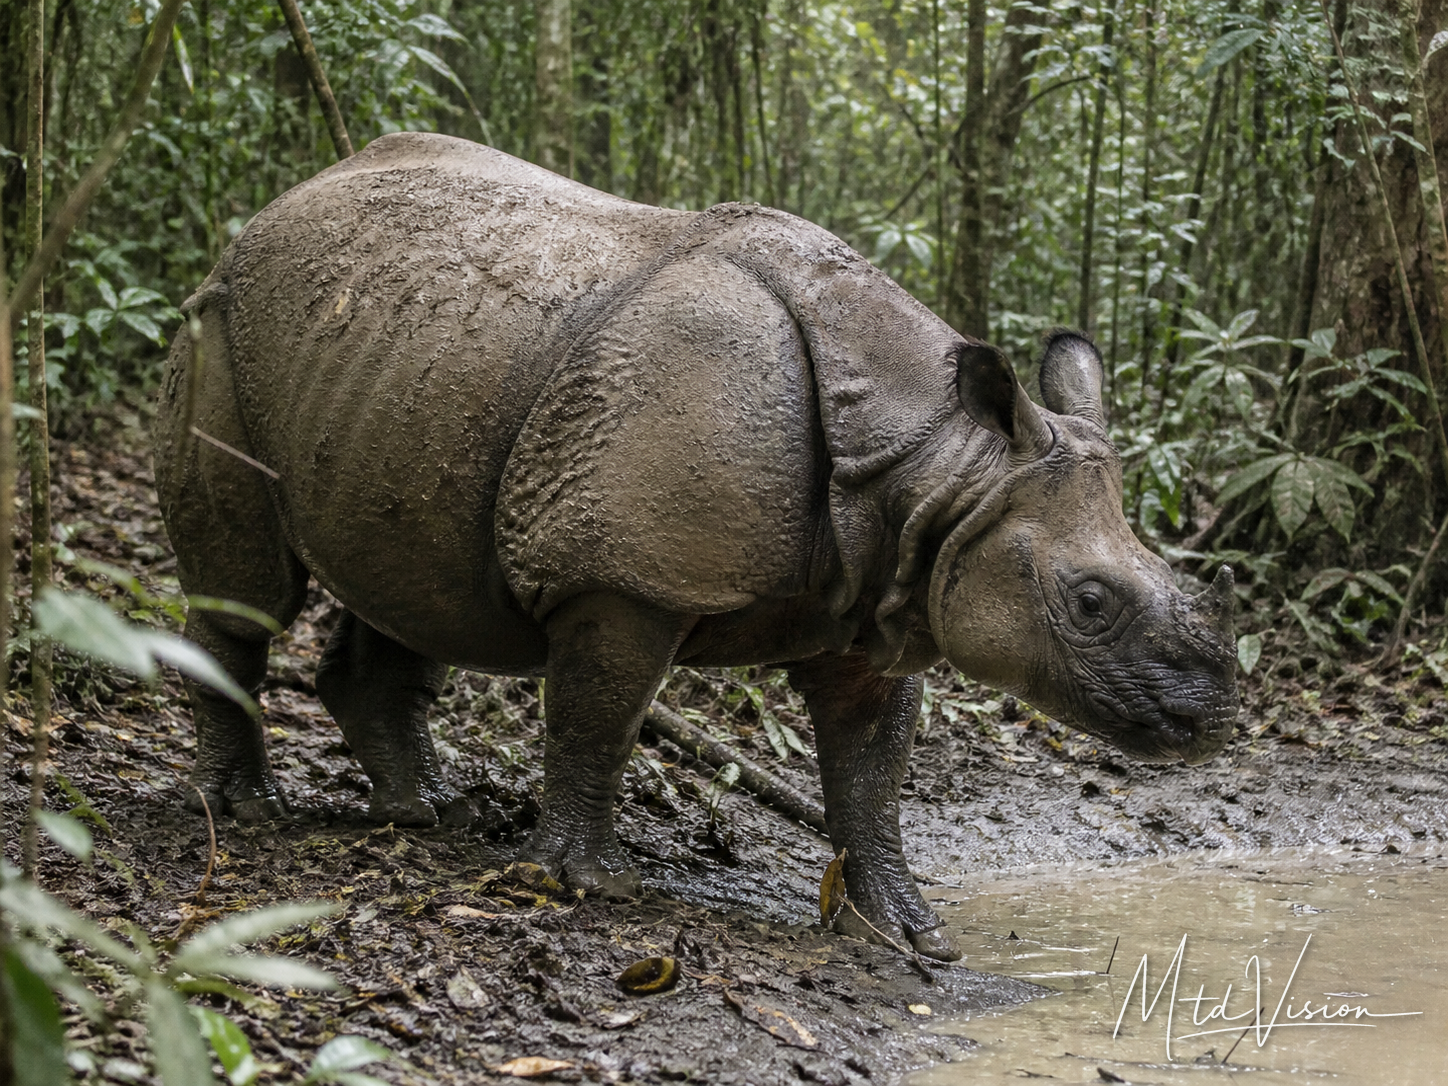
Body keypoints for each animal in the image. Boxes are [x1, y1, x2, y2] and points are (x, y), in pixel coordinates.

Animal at [154, 132, 1238, 962]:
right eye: (1090, 602)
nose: (1213, 719)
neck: (942, 468)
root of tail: (278, 205)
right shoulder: (625, 574)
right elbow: (599, 715)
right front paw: (590, 883)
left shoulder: (885, 599)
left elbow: (871, 770)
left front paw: (906, 933)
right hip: (225, 320)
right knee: (250, 590)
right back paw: (249, 809)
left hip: (402, 355)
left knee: (419, 578)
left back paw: (429, 814)